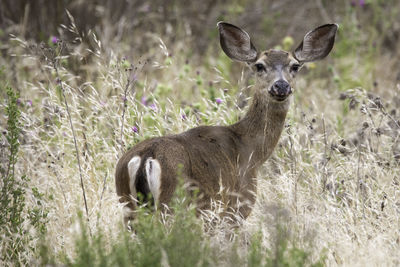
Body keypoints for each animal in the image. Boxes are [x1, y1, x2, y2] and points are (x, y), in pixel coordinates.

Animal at [115, 22, 338, 226]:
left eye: (294, 66)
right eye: (259, 65)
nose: (281, 86)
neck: (251, 151)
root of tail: (146, 157)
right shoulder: (236, 209)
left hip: (127, 205)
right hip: (171, 206)